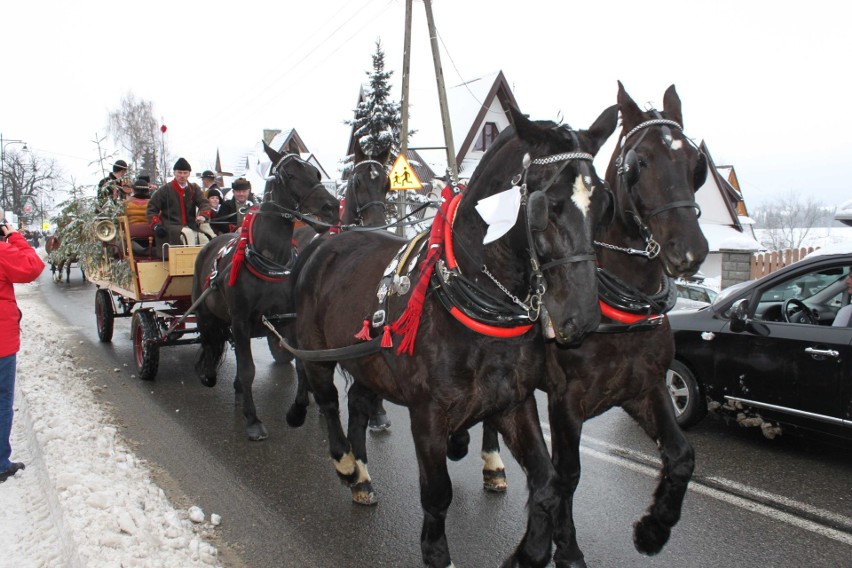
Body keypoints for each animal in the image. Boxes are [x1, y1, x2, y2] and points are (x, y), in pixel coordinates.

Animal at [191, 141, 342, 440]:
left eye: (316, 173)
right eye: (291, 175)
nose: (332, 207)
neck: (270, 260)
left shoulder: (289, 321)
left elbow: (301, 365)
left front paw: (297, 412)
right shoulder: (240, 321)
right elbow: (248, 369)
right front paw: (253, 420)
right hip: (205, 313)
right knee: (210, 341)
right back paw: (209, 375)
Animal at [288, 106, 620, 568]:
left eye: (604, 204)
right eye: (547, 206)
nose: (583, 318)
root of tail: (324, 243)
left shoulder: (513, 402)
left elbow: (548, 484)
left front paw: (529, 552)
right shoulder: (427, 413)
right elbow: (437, 493)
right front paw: (436, 551)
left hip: (369, 362)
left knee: (357, 403)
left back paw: (363, 478)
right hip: (317, 351)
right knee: (328, 401)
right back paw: (346, 463)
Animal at [476, 82, 708, 564]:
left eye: (696, 164)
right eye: (640, 163)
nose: (690, 251)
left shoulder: (646, 386)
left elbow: (681, 455)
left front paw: (654, 529)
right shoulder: (566, 400)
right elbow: (567, 475)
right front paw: (563, 548)